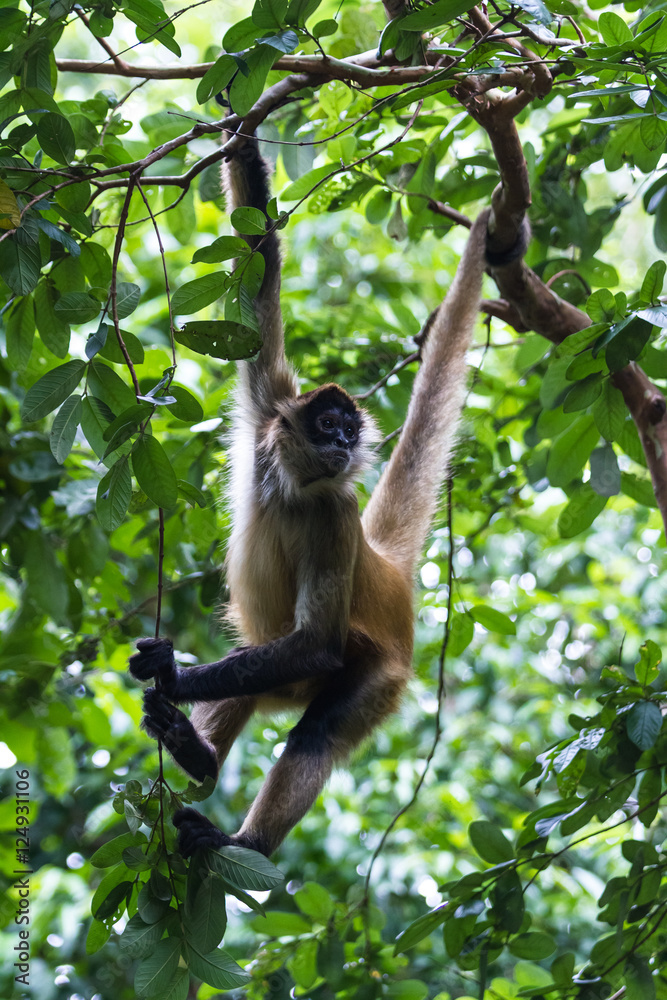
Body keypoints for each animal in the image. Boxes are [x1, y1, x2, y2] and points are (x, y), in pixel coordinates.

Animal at [129, 134, 524, 859]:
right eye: (328, 427)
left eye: (347, 431)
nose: (343, 443)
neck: (292, 488)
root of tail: (389, 573)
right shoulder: (269, 413)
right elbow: (259, 262)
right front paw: (241, 134)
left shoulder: (337, 512)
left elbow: (316, 641)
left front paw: (174, 675)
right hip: (276, 672)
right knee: (249, 663)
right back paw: (198, 756)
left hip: (375, 674)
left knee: (312, 722)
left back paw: (246, 842)